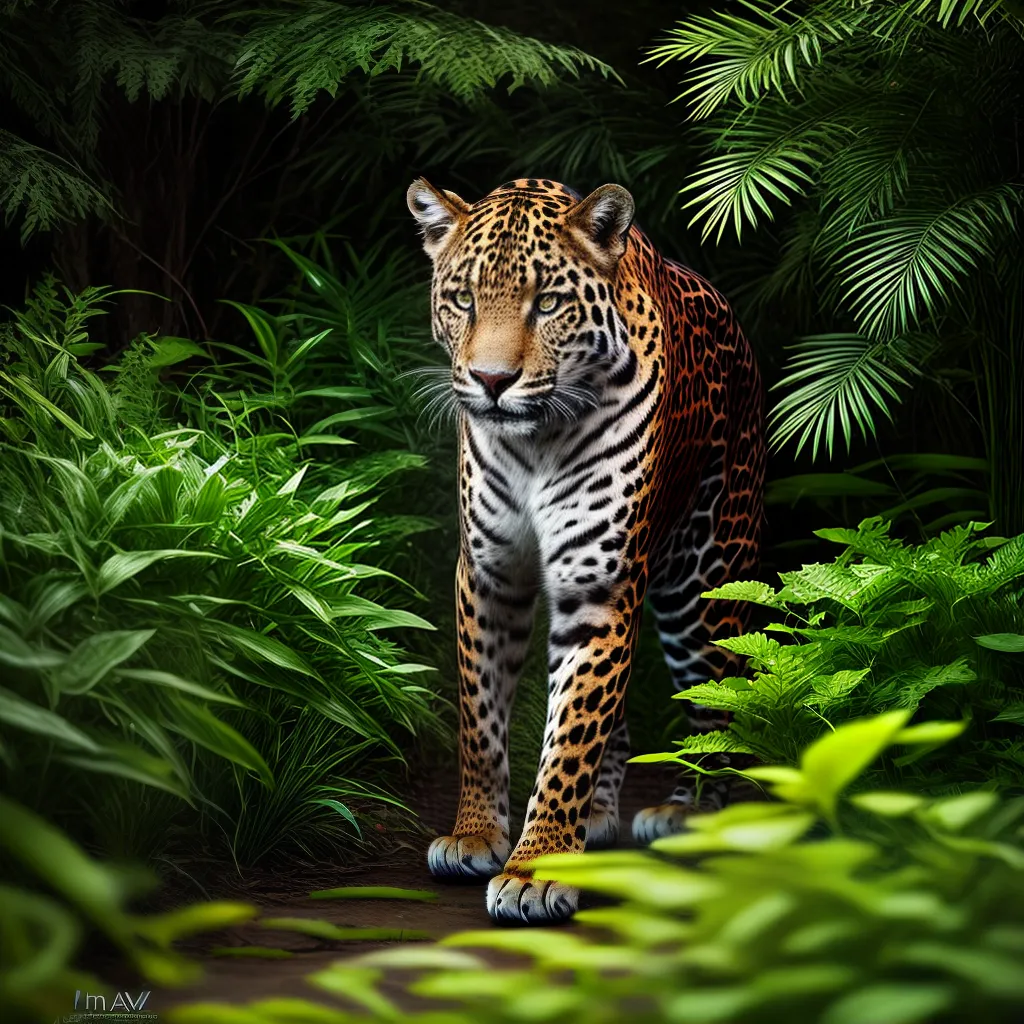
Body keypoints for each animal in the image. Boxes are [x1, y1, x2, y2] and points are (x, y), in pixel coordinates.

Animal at [406, 176, 765, 925]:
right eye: (465, 300)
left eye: (547, 303)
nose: (491, 381)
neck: (537, 440)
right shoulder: (486, 574)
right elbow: (480, 718)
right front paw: (475, 834)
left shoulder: (598, 584)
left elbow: (572, 732)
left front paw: (536, 868)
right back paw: (598, 817)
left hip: (703, 590)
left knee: (719, 710)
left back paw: (689, 814)